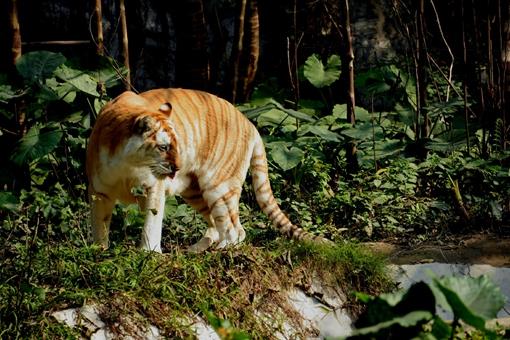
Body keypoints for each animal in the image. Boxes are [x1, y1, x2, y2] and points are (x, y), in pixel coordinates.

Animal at [85, 87, 326, 252]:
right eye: (164, 147)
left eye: (176, 145)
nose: (178, 168)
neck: (128, 164)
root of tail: (249, 123)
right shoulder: (99, 193)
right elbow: (99, 224)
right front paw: (99, 251)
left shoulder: (154, 188)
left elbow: (151, 223)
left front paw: (149, 253)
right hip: (194, 191)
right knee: (216, 226)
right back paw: (194, 251)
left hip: (219, 187)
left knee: (235, 230)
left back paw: (218, 251)